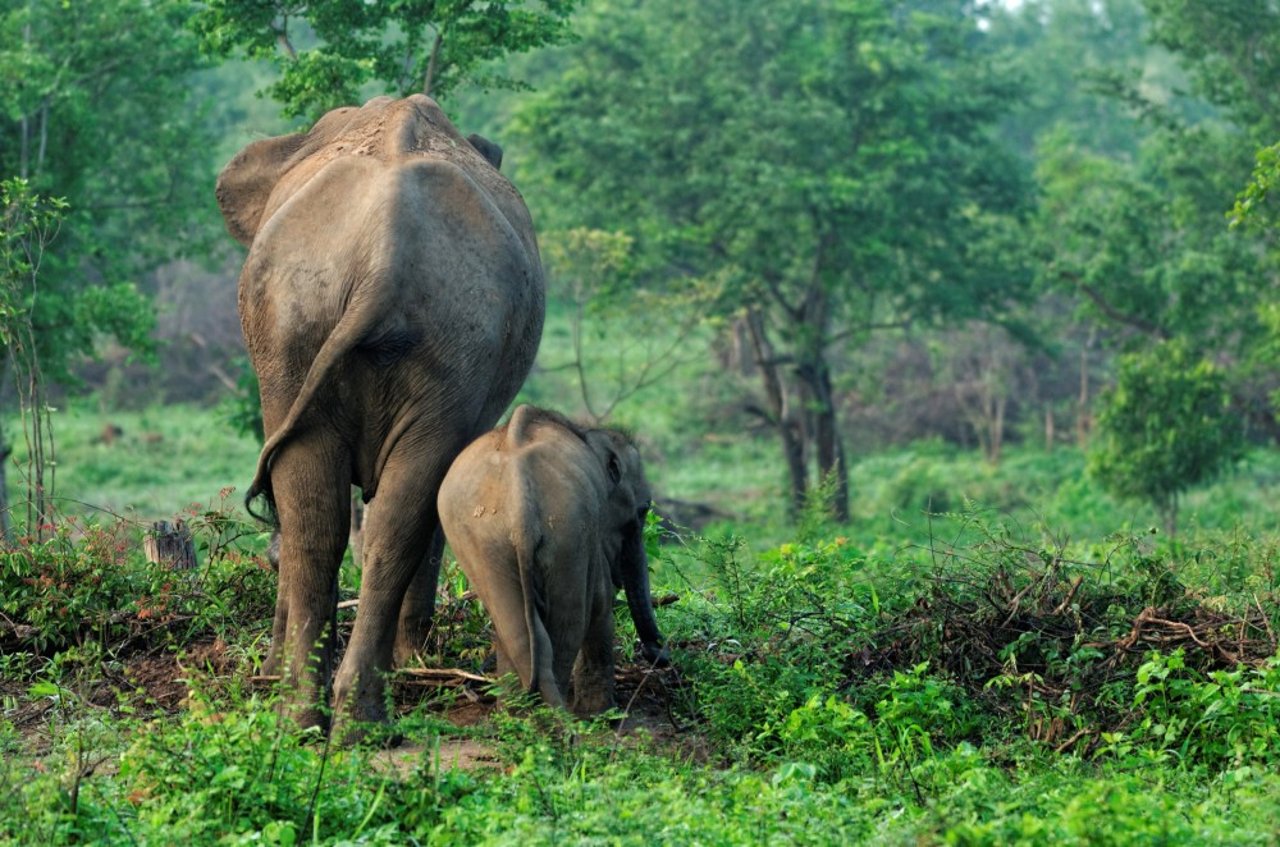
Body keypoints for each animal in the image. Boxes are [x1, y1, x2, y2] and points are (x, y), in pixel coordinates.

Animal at [216, 91, 545, 731]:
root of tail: (384, 258)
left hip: (391, 338)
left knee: (347, 513)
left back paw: (326, 711)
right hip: (327, 325)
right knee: (364, 514)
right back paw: (329, 713)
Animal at [437, 404, 665, 716]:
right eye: (643, 511)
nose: (659, 653)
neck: (586, 434)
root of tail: (518, 495)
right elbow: (601, 603)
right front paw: (601, 713)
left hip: (484, 541)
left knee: (516, 629)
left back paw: (519, 713)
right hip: (567, 530)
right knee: (569, 621)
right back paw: (556, 714)